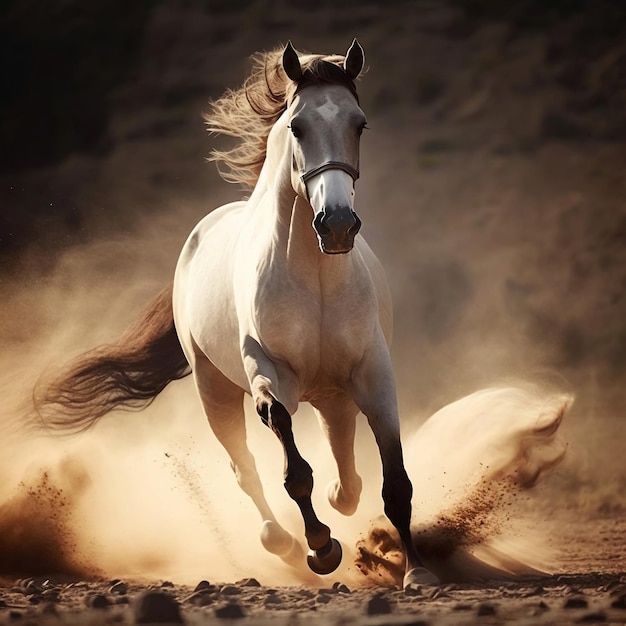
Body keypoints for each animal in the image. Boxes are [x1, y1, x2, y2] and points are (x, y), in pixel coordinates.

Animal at [33, 41, 434, 588]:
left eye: (360, 124)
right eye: (297, 127)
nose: (336, 225)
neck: (316, 278)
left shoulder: (373, 373)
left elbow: (395, 482)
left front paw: (417, 572)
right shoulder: (269, 374)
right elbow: (291, 463)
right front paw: (321, 547)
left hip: (331, 392)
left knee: (343, 454)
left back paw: (339, 503)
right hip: (214, 390)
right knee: (245, 469)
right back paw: (284, 543)